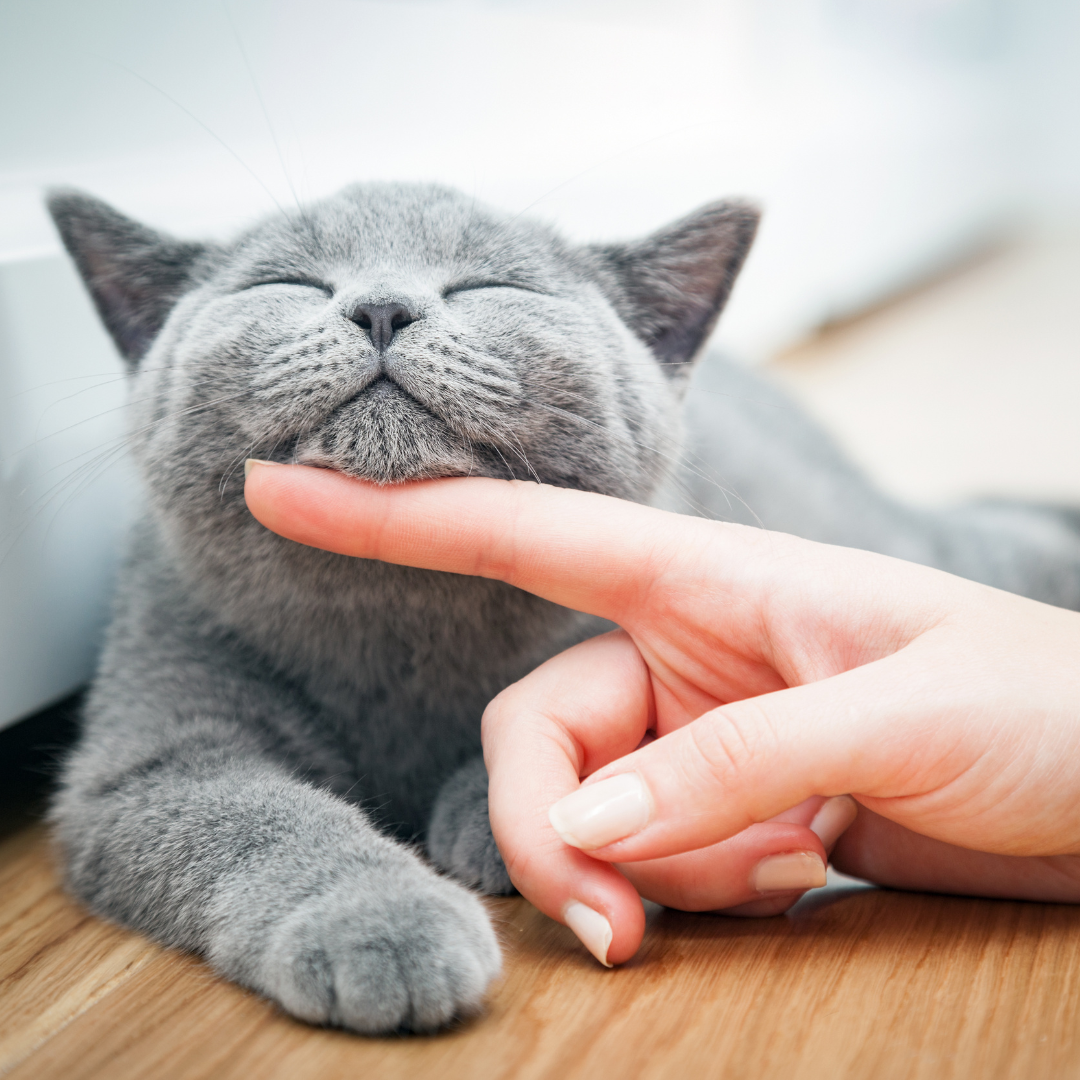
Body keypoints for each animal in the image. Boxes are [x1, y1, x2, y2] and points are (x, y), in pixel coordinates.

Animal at [46, 181, 1080, 1032]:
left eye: (487, 285)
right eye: (290, 281)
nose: (382, 305)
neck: (397, 619)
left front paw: (491, 818)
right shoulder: (150, 755)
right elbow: (259, 817)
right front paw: (381, 921)